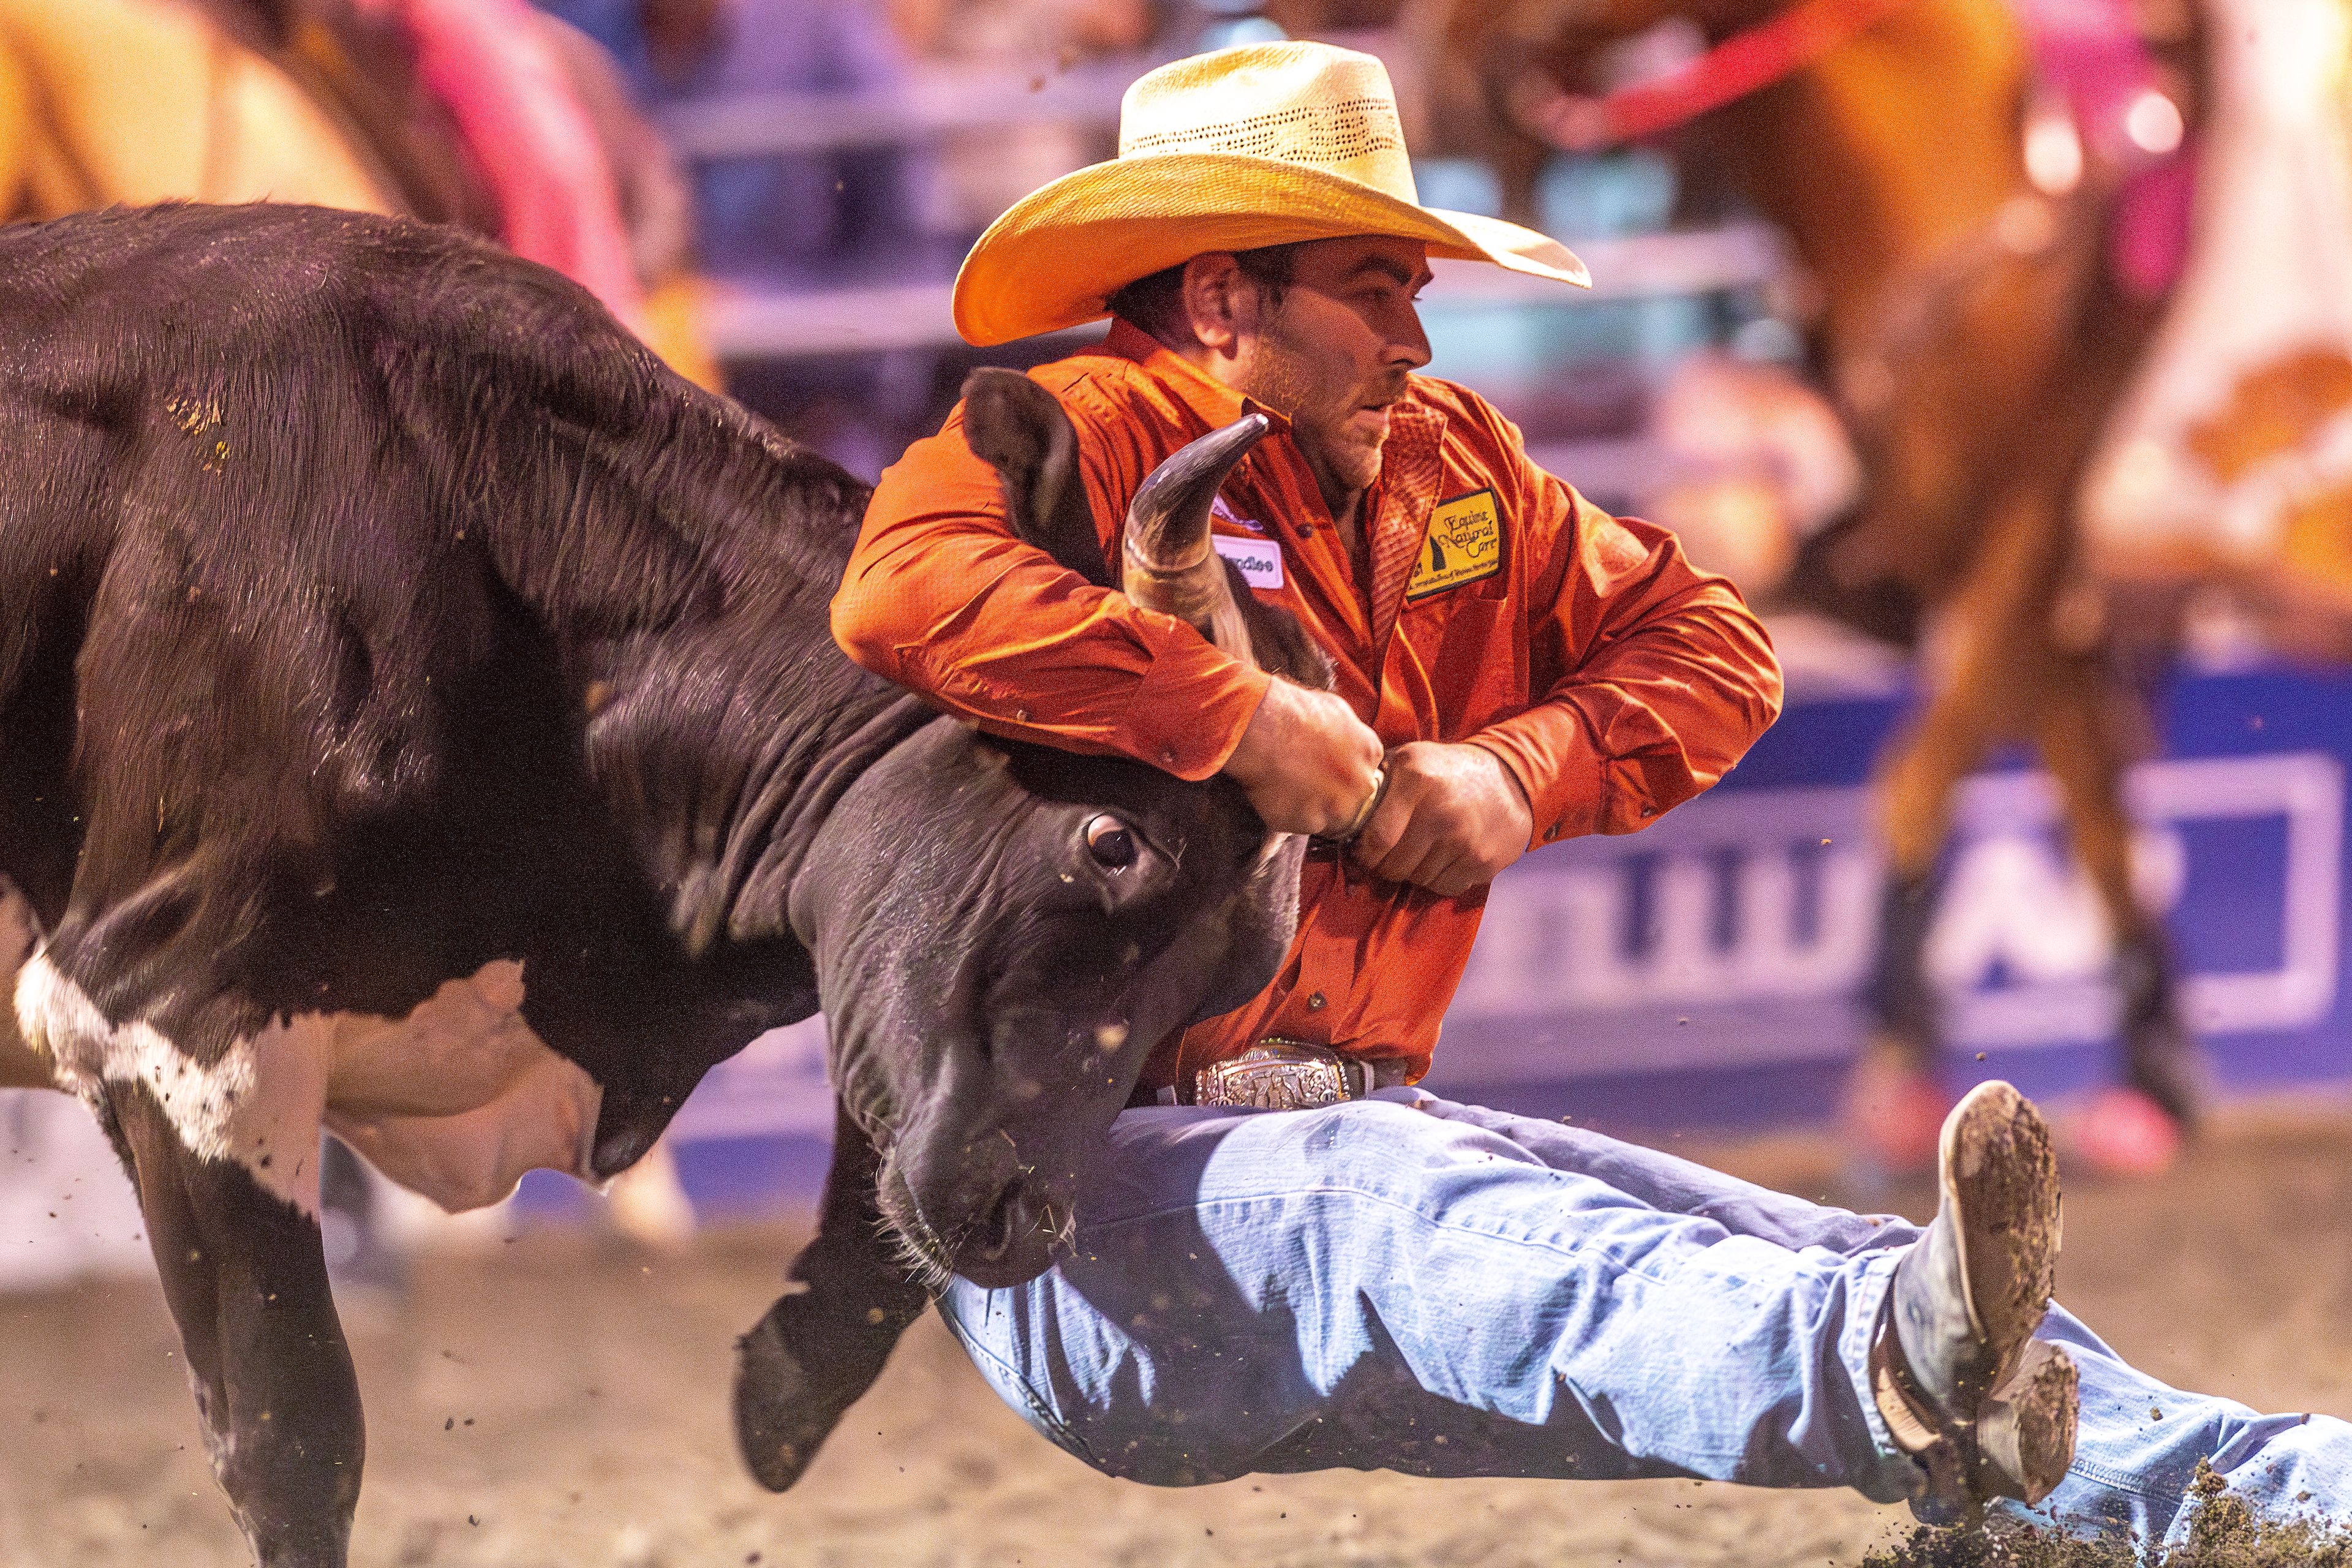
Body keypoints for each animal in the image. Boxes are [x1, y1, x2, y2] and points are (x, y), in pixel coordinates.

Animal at [0, 205, 1326, 1568]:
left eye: (1229, 974)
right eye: (1116, 843)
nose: (1023, 1221)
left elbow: (880, 1198)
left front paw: (779, 1383)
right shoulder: (173, 1021)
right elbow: (290, 1433)